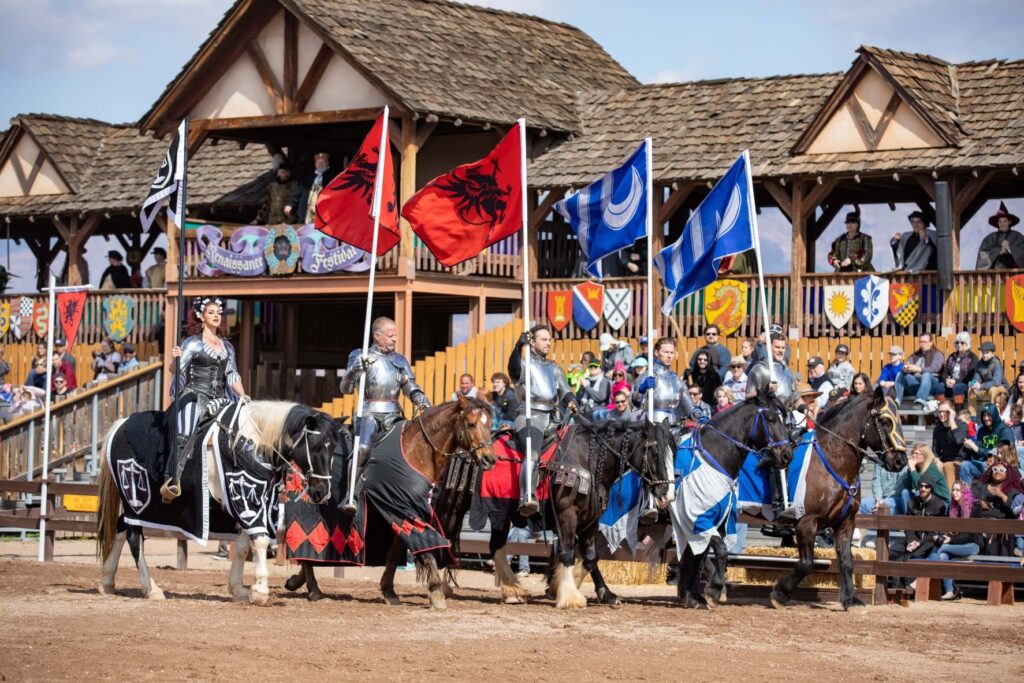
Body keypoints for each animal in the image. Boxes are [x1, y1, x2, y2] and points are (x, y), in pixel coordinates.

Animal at [97, 397, 335, 606]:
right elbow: (260, 540)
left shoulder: (251, 506)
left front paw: (238, 589)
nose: (322, 491)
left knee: (121, 526)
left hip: (138, 506)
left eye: (332, 448)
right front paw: (260, 591)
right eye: (315, 445)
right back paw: (151, 589)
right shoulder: (247, 503)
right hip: (136, 499)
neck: (250, 443)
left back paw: (107, 581)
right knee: (134, 538)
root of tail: (120, 425)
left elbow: (242, 547)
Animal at [671, 395, 790, 610]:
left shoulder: (711, 522)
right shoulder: (697, 519)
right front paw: (713, 591)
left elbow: (700, 557)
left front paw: (694, 597)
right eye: (770, 419)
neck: (713, 455)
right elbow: (721, 550)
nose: (787, 455)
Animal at [765, 387, 909, 610]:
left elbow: (846, 561)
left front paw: (851, 599)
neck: (831, 460)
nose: (900, 461)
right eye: (885, 421)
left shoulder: (845, 522)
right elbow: (806, 564)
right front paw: (779, 593)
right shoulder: (806, 522)